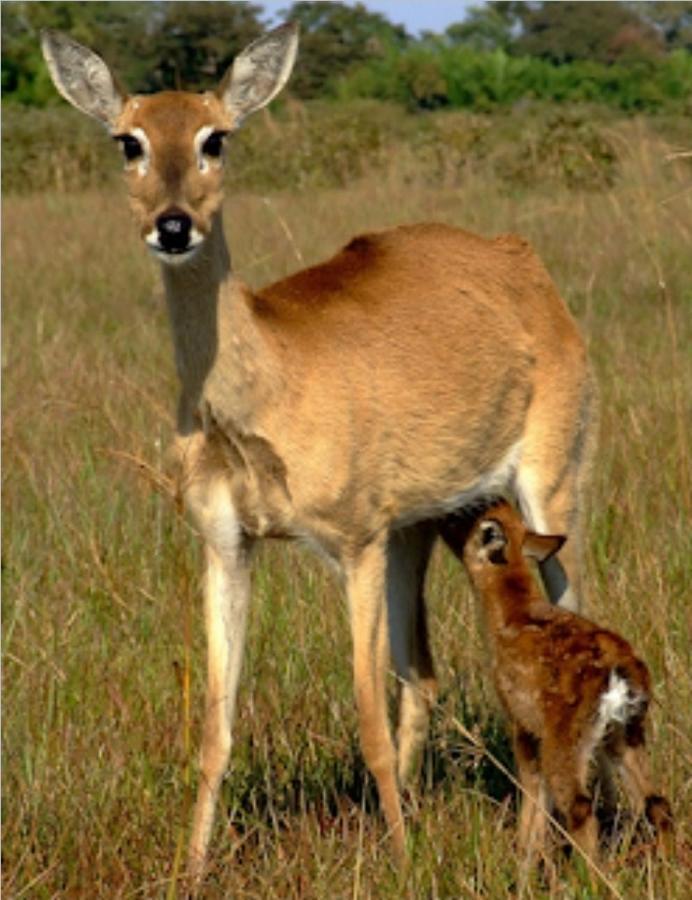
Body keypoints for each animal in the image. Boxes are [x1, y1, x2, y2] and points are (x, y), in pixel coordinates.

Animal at [42, 21, 596, 880]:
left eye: (215, 137)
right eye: (128, 140)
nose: (173, 224)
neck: (264, 388)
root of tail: (524, 262)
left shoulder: (354, 544)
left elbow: (368, 713)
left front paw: (401, 863)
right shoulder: (226, 545)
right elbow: (217, 725)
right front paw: (193, 868)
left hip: (550, 486)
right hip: (424, 529)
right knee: (425, 675)